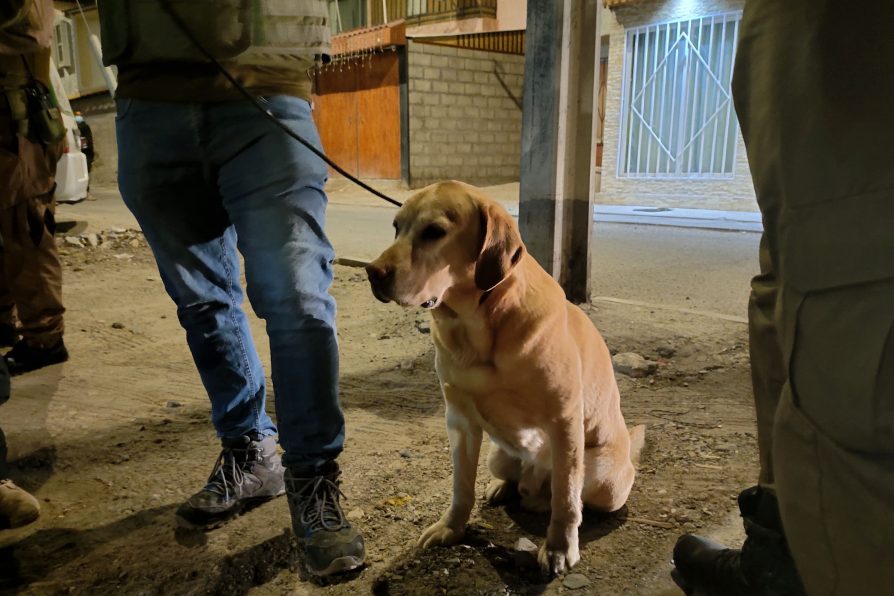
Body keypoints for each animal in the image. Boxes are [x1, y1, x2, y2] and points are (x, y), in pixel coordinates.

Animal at [368, 183, 648, 576]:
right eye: (396, 227)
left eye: (434, 232)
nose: (372, 272)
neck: (479, 326)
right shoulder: (459, 422)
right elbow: (461, 487)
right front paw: (451, 528)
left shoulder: (564, 422)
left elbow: (566, 497)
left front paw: (560, 547)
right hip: (497, 455)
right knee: (511, 478)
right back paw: (503, 487)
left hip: (605, 481)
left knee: (571, 496)